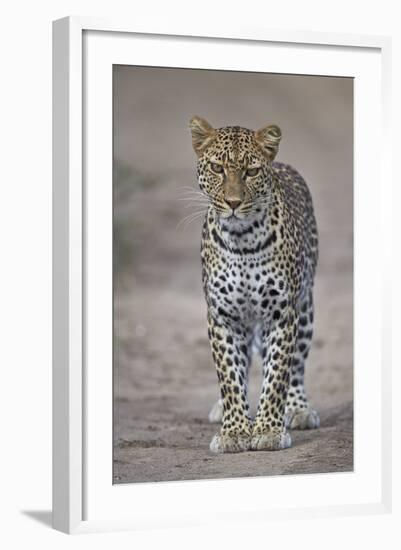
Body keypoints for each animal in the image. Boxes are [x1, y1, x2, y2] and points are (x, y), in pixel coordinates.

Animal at [189, 114, 320, 454]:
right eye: (217, 168)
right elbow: (229, 377)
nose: (233, 202)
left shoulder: (282, 315)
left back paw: (298, 410)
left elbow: (277, 377)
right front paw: (234, 431)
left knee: (297, 367)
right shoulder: (223, 317)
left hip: (306, 308)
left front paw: (269, 430)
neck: (242, 239)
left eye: (251, 171)